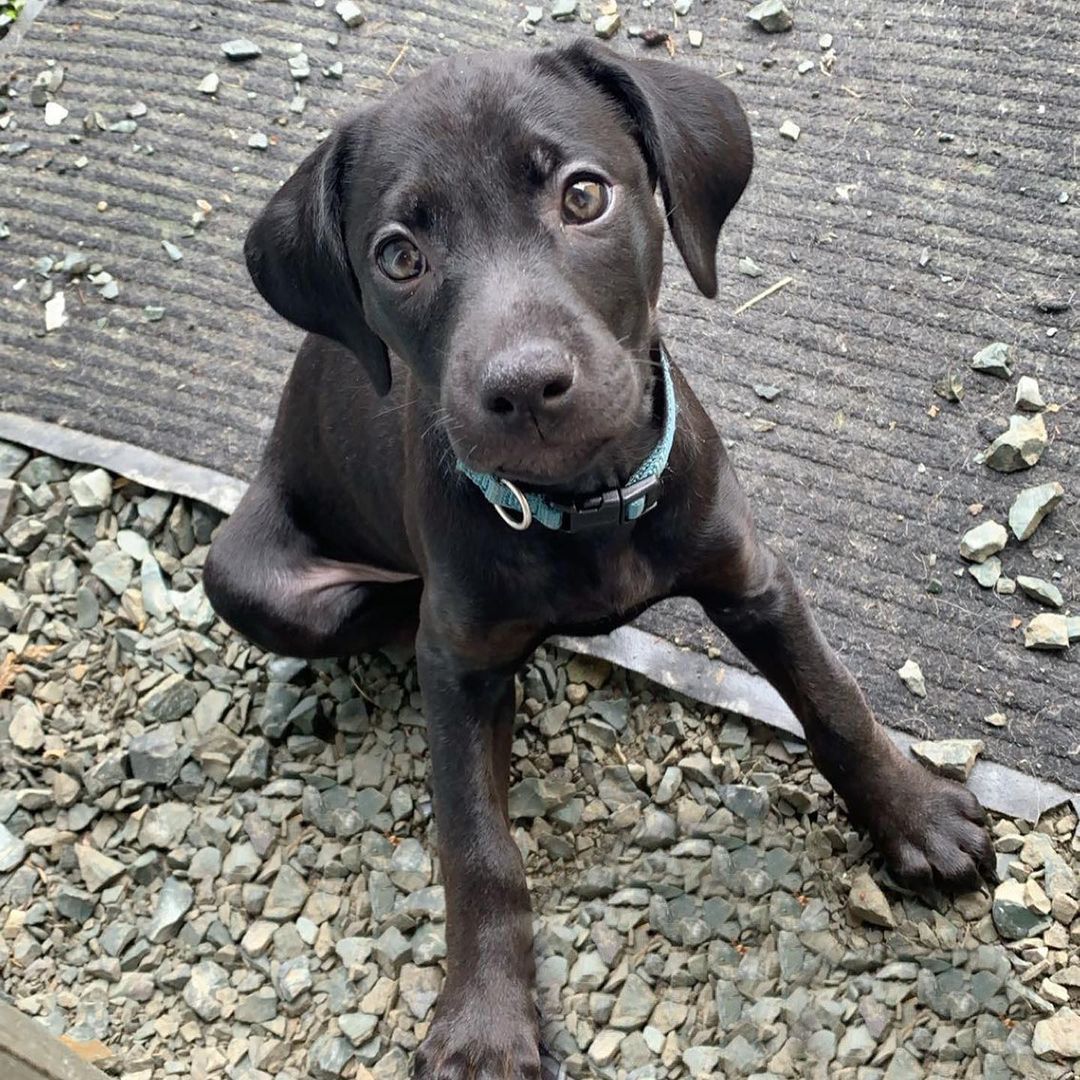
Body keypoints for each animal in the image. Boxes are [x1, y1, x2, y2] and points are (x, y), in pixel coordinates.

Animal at [204, 39, 993, 1080]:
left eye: (584, 197)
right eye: (399, 255)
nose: (524, 387)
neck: (582, 504)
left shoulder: (752, 576)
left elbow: (835, 700)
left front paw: (915, 815)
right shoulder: (456, 663)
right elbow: (478, 848)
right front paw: (486, 1021)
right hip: (250, 578)